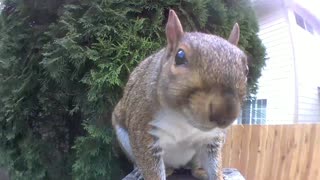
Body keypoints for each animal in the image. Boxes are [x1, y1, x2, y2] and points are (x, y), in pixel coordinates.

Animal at [111, 9, 249, 180]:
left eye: (246, 70)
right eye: (180, 56)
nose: (225, 114)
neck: (183, 119)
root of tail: (178, 166)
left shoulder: (212, 138)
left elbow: (214, 162)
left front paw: (218, 175)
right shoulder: (143, 128)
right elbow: (151, 167)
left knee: (193, 169)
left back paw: (201, 171)